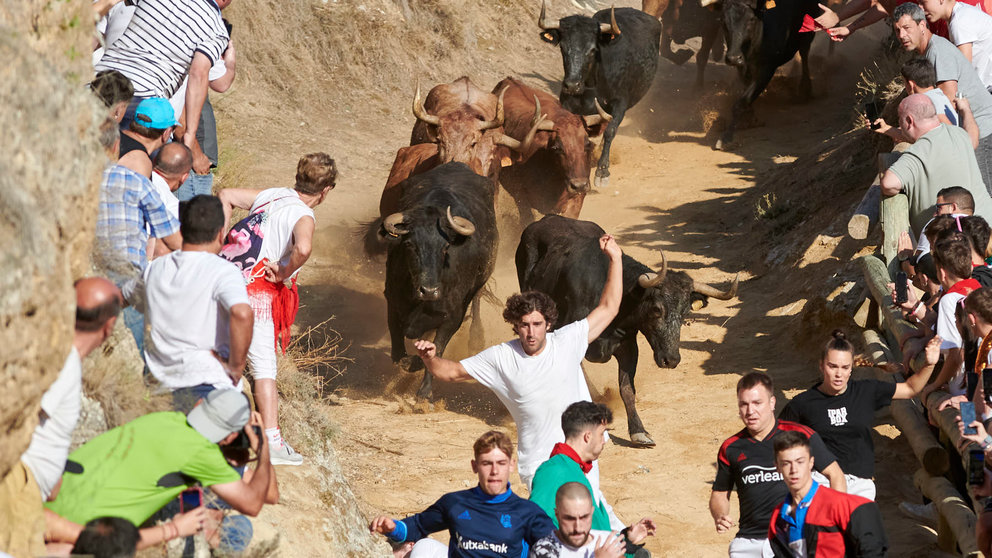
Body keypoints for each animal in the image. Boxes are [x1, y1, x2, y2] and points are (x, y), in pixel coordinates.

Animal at [376, 164, 496, 400]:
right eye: (410, 245)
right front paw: (410, 362)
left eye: (445, 247)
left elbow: (437, 348)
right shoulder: (392, 301)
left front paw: (424, 392)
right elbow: (397, 344)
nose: (429, 291)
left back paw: (476, 338)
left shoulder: (453, 317)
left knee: (477, 301)